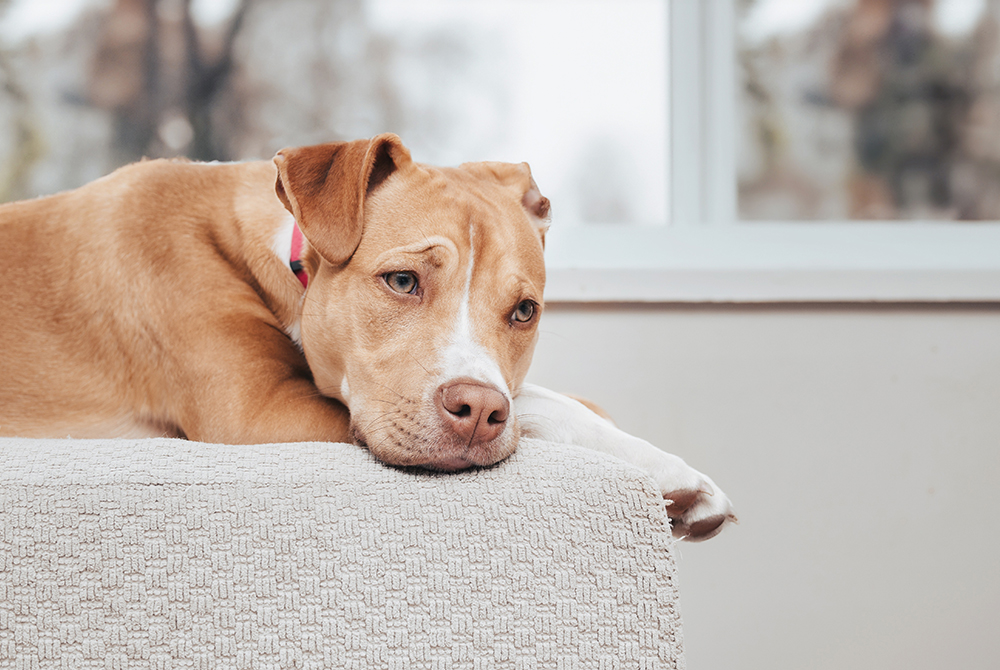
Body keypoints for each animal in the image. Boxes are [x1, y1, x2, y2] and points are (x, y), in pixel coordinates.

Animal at [0, 134, 736, 544]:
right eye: (402, 280)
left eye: (525, 311)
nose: (478, 413)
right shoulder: (257, 411)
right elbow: (536, 407)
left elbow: (547, 399)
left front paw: (673, 474)